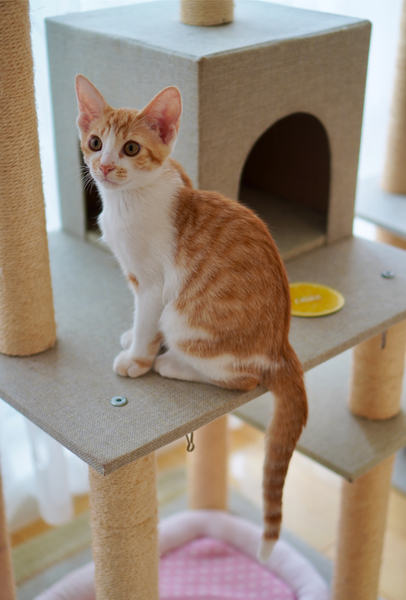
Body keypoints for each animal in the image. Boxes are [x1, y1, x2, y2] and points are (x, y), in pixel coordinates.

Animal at [75, 74, 308, 562]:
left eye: (130, 148)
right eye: (95, 142)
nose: (103, 165)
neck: (127, 202)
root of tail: (282, 344)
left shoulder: (153, 284)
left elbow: (147, 320)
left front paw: (137, 359)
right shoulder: (136, 278)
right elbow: (137, 319)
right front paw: (130, 338)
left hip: (187, 321)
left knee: (240, 378)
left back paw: (171, 364)